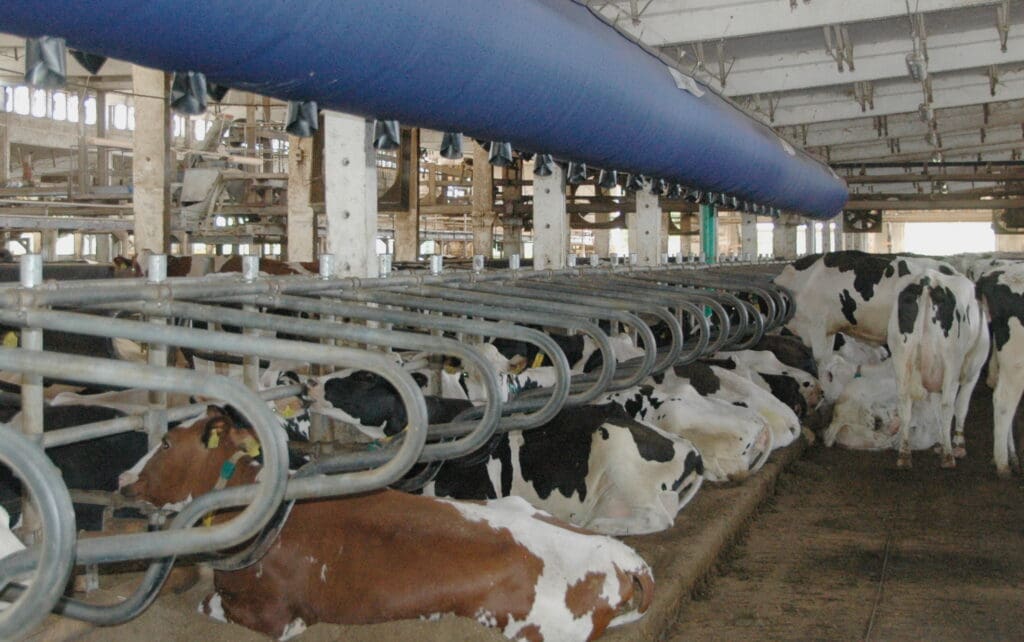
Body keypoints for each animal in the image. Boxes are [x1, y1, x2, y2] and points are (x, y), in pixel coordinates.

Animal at [305, 368, 704, 536]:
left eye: (364, 378)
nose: (309, 381)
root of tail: (691, 451)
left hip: (619, 448)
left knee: (655, 519)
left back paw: (597, 525)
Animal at [888, 268, 991, 468]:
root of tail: (927, 279)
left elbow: (935, 409)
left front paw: (941, 441)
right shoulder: (972, 372)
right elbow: (961, 406)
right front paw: (956, 444)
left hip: (900, 357)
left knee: (904, 404)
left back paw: (904, 454)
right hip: (952, 361)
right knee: (947, 405)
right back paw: (949, 456)